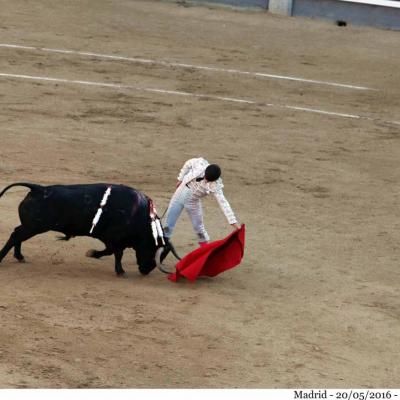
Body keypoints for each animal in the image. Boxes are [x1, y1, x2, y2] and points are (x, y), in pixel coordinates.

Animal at [0, 184, 177, 276]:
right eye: (153, 249)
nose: (145, 271)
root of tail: (39, 189)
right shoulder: (113, 237)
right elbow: (115, 252)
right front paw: (119, 270)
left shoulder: (110, 238)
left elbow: (112, 251)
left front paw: (95, 255)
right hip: (34, 227)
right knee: (15, 235)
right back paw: (4, 258)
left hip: (31, 227)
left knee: (17, 235)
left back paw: (19, 256)